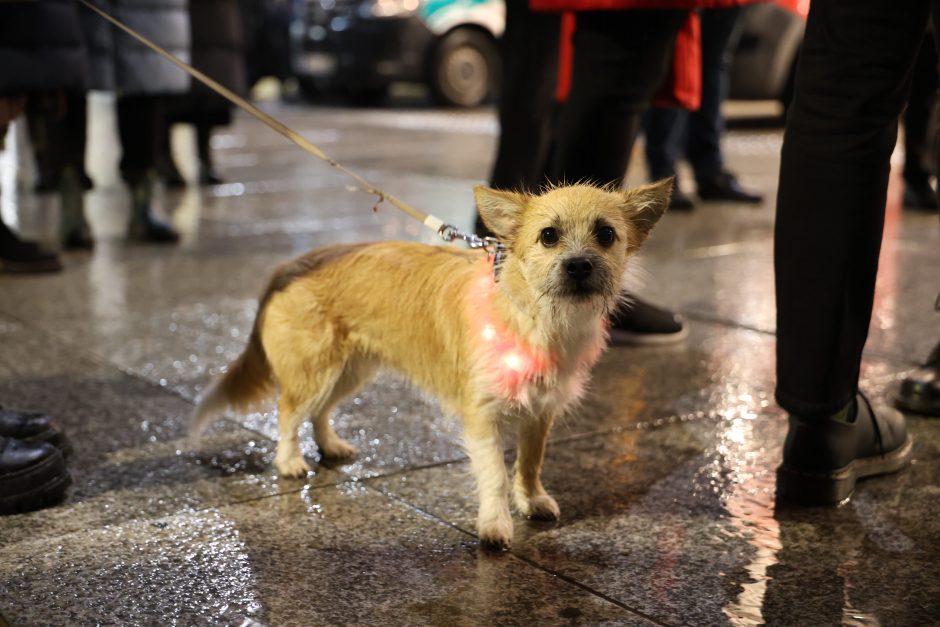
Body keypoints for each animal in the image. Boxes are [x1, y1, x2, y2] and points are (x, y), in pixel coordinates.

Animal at [193, 178, 668, 548]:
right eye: (548, 235)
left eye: (606, 234)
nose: (579, 266)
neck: (536, 316)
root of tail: (293, 263)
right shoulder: (481, 416)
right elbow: (495, 474)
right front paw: (495, 523)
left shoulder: (540, 412)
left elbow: (530, 463)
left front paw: (531, 500)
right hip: (315, 370)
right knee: (288, 411)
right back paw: (289, 460)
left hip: (351, 370)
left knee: (320, 411)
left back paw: (330, 446)